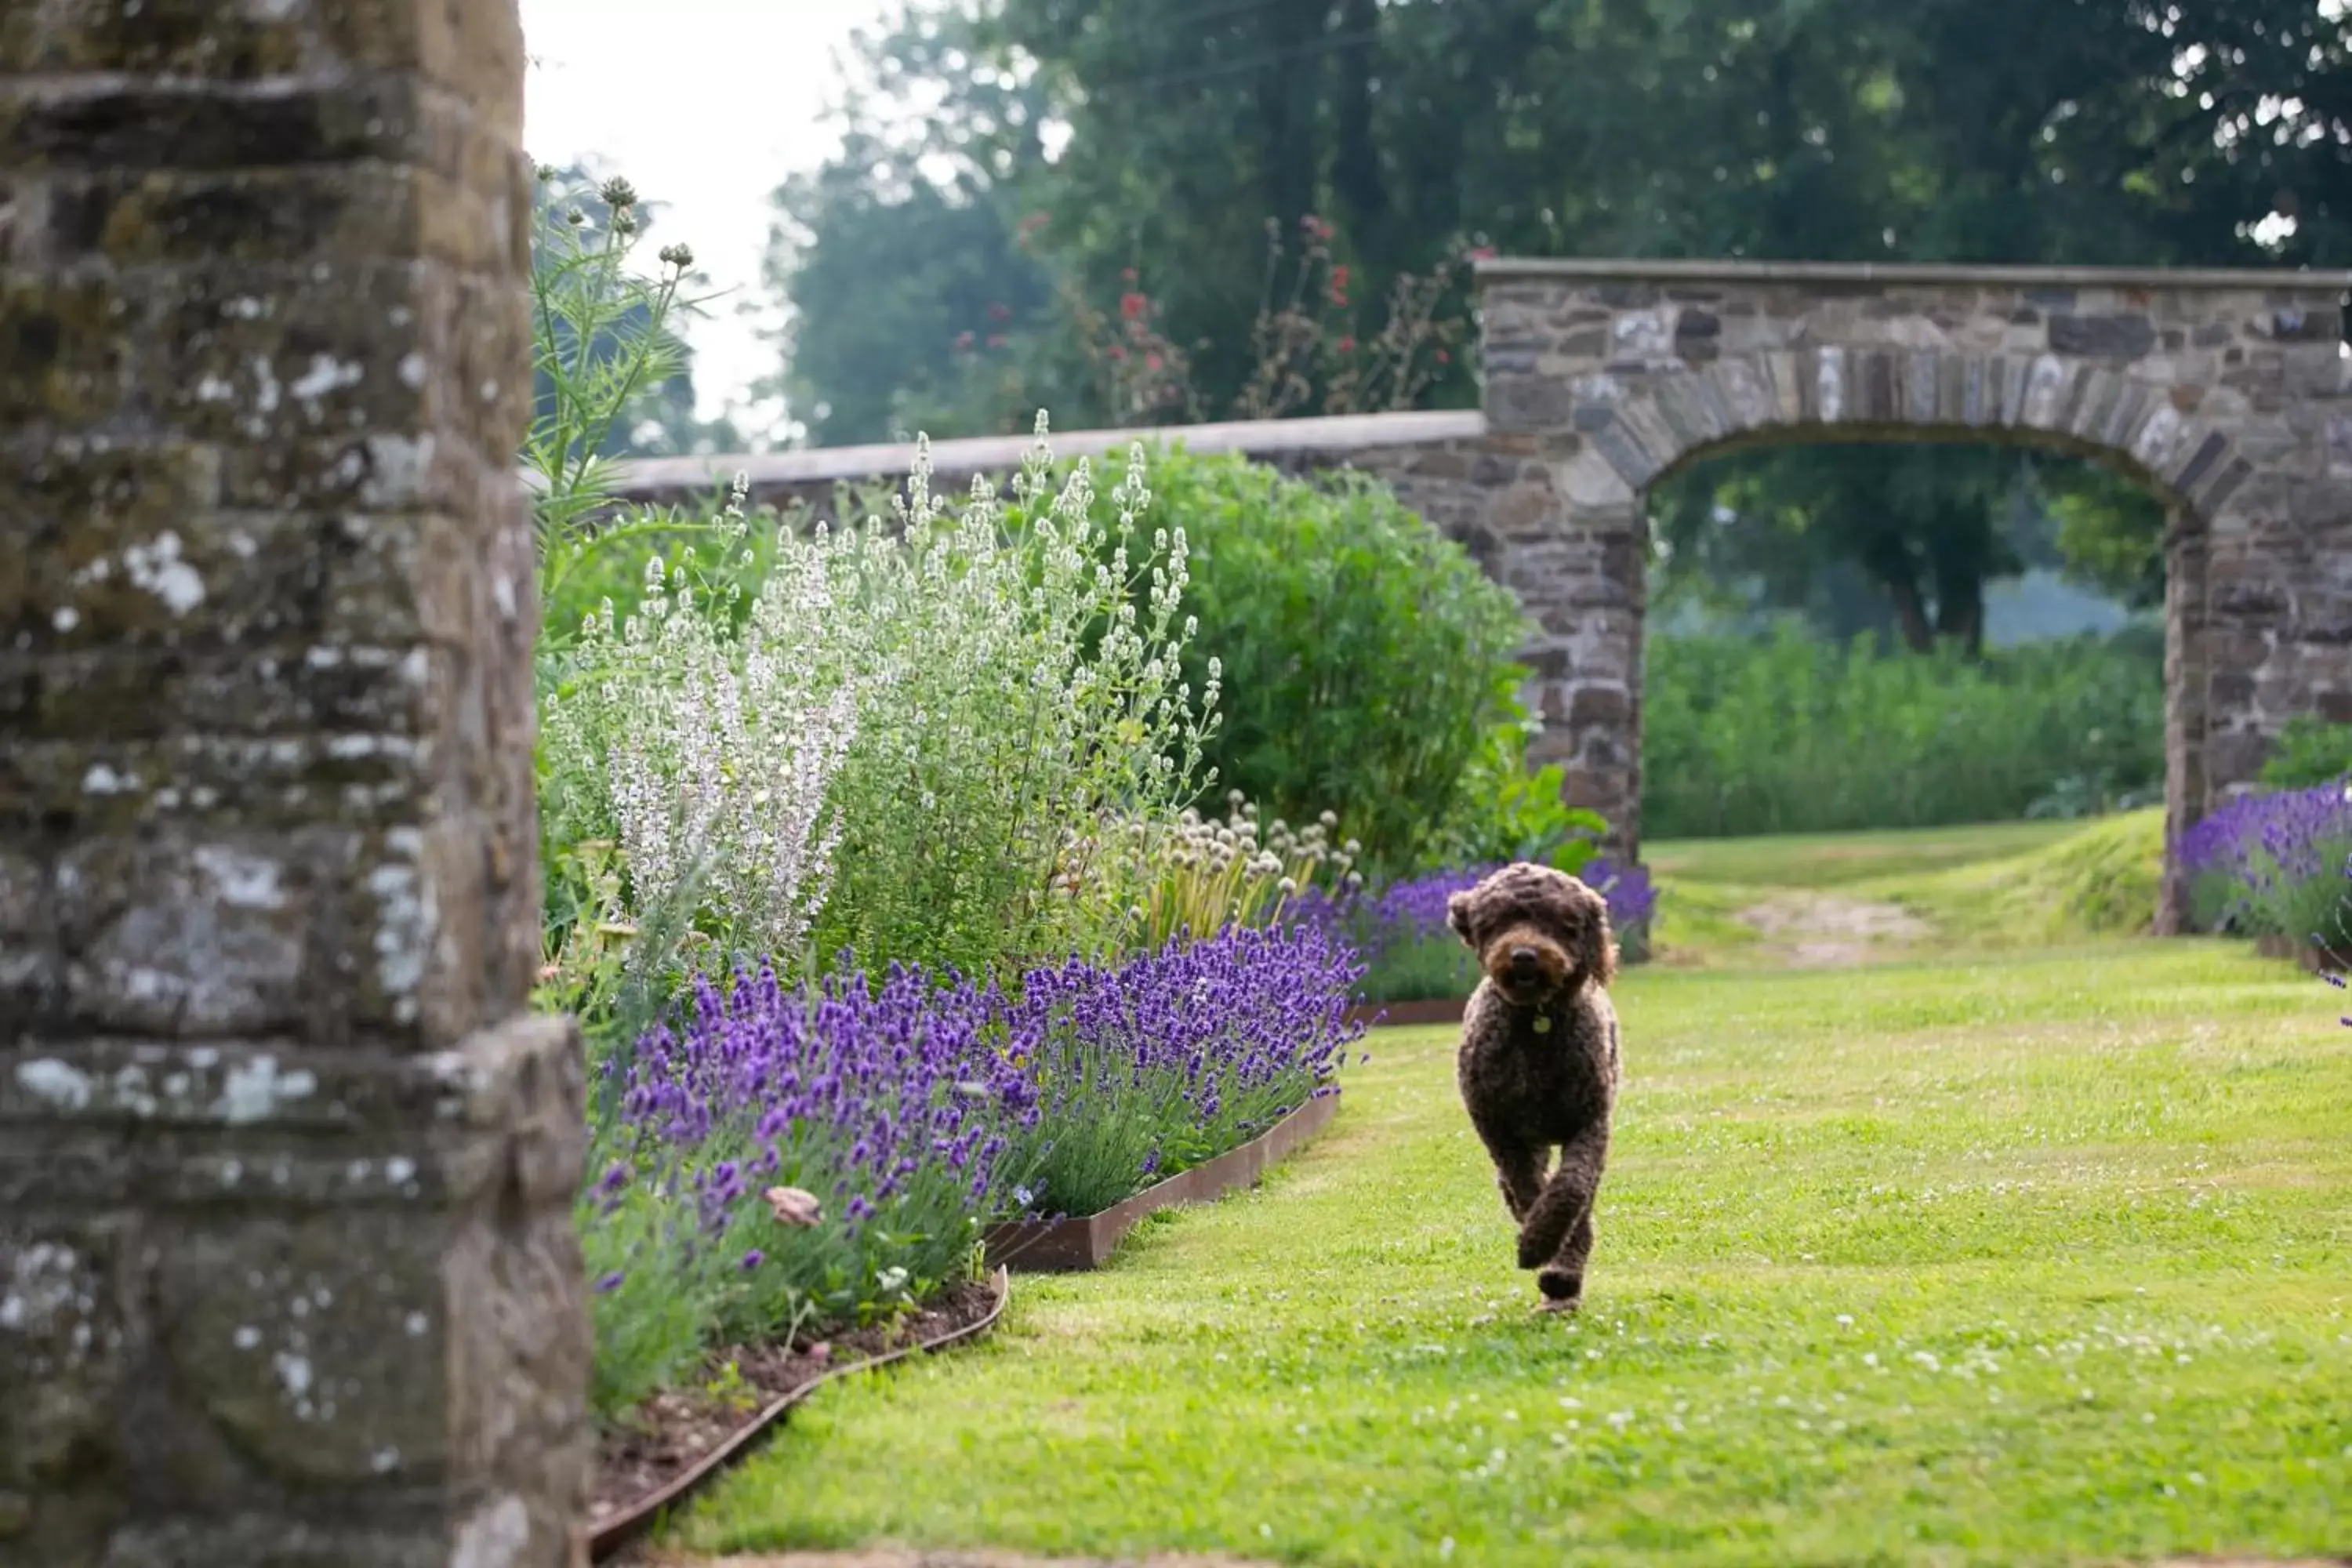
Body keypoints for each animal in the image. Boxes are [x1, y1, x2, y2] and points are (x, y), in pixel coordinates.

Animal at [1439, 860, 1628, 1316]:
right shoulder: (1501, 1131)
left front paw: (1552, 1262)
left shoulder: (1591, 1123)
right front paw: (1538, 1246)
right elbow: (1527, 1189)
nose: (1524, 955)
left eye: (1560, 921)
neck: (1537, 1021)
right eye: (1498, 921)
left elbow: (1571, 1189)